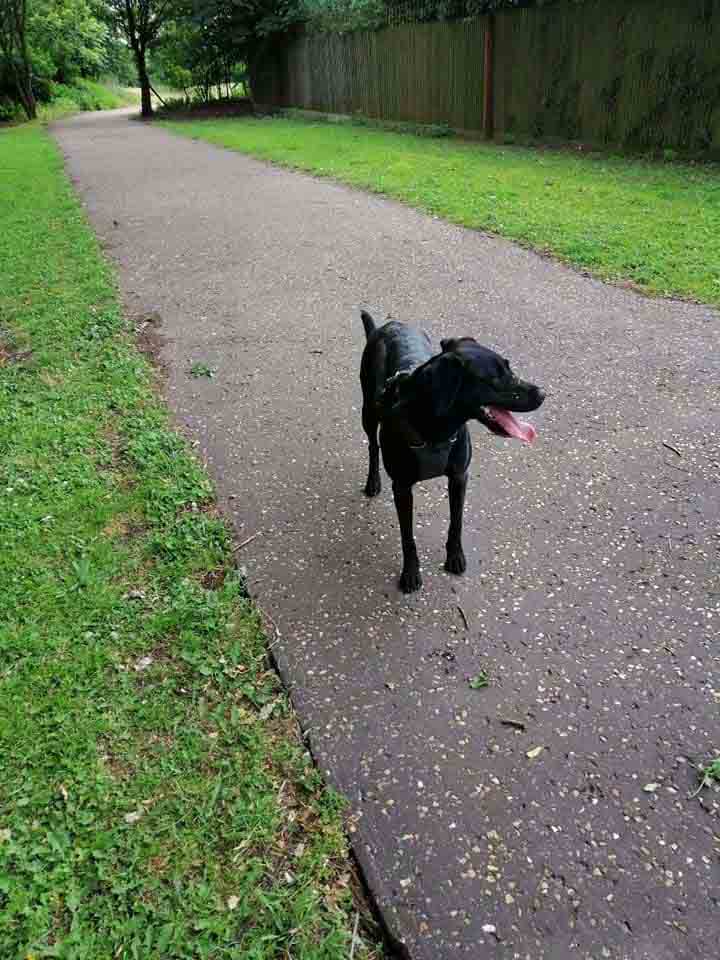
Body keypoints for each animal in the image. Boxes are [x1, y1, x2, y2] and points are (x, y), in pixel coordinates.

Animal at [362, 312, 544, 588]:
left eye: (509, 367)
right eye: (494, 378)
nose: (543, 394)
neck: (436, 430)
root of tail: (388, 325)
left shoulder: (459, 477)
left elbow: (456, 522)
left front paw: (455, 557)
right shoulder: (402, 488)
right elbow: (407, 537)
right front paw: (411, 572)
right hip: (368, 412)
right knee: (373, 445)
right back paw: (372, 481)